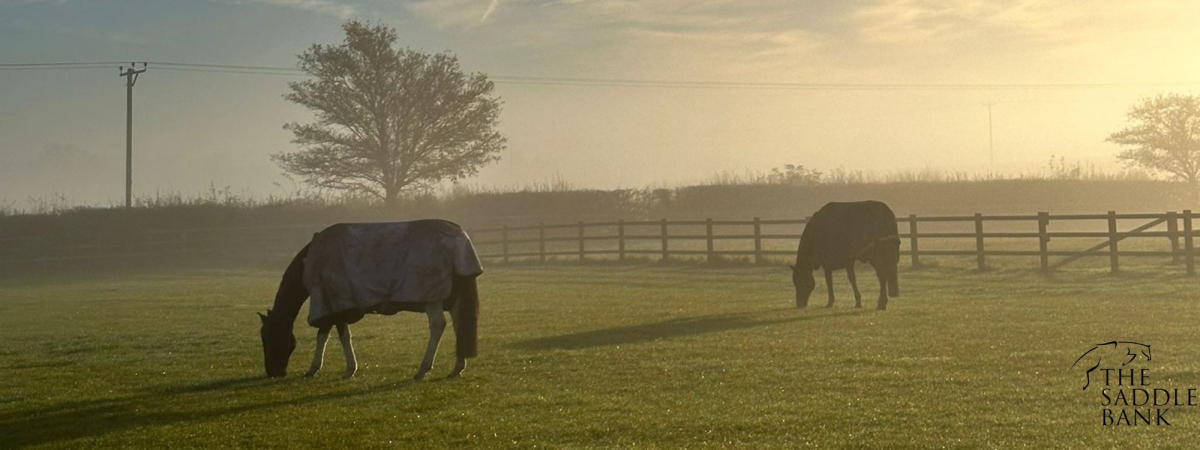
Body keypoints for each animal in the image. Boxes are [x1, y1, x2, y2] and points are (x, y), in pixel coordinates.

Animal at [259, 220, 481, 381]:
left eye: (267, 337)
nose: (273, 372)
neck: (313, 261)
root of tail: (459, 234)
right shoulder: (334, 305)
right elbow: (331, 335)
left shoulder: (333, 304)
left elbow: (332, 336)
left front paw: (338, 368)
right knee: (459, 323)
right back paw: (457, 367)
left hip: (432, 297)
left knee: (438, 326)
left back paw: (423, 369)